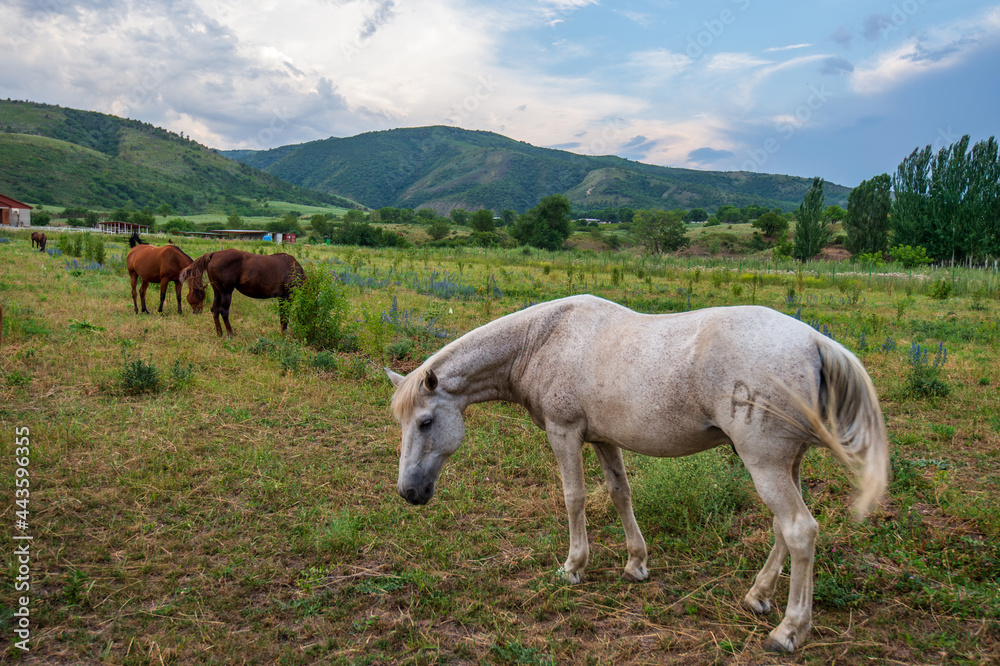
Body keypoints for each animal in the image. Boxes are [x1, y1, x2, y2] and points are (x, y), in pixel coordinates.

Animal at [385, 294, 888, 653]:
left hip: (764, 464)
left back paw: (788, 631)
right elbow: (619, 494)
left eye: (425, 422)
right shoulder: (603, 439)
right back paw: (758, 596)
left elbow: (574, 497)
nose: (409, 492)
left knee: (800, 531)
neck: (541, 340)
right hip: (787, 464)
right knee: (785, 531)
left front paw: (573, 566)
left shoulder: (564, 433)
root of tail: (815, 342)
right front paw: (635, 563)